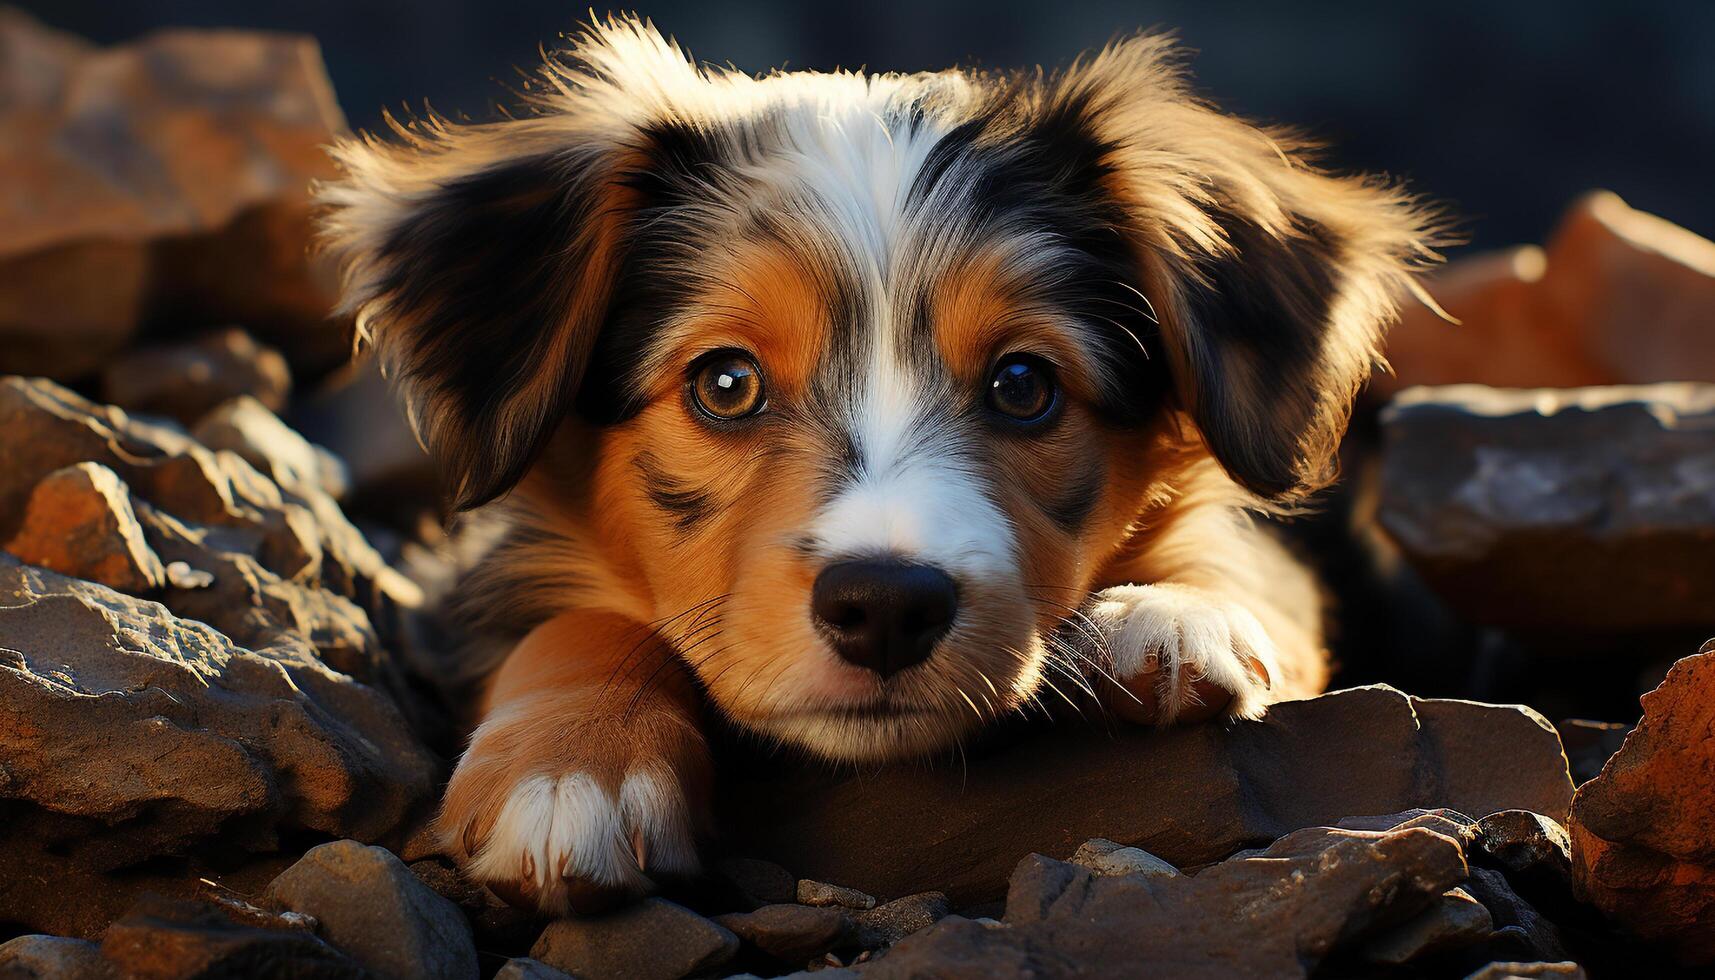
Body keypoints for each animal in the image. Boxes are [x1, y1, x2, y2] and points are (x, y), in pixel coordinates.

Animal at [315, 19, 1440, 919]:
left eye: (1022, 384)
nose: (885, 607)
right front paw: (571, 765)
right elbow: (574, 622)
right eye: (725, 382)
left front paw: (1166, 612)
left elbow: (1240, 567)